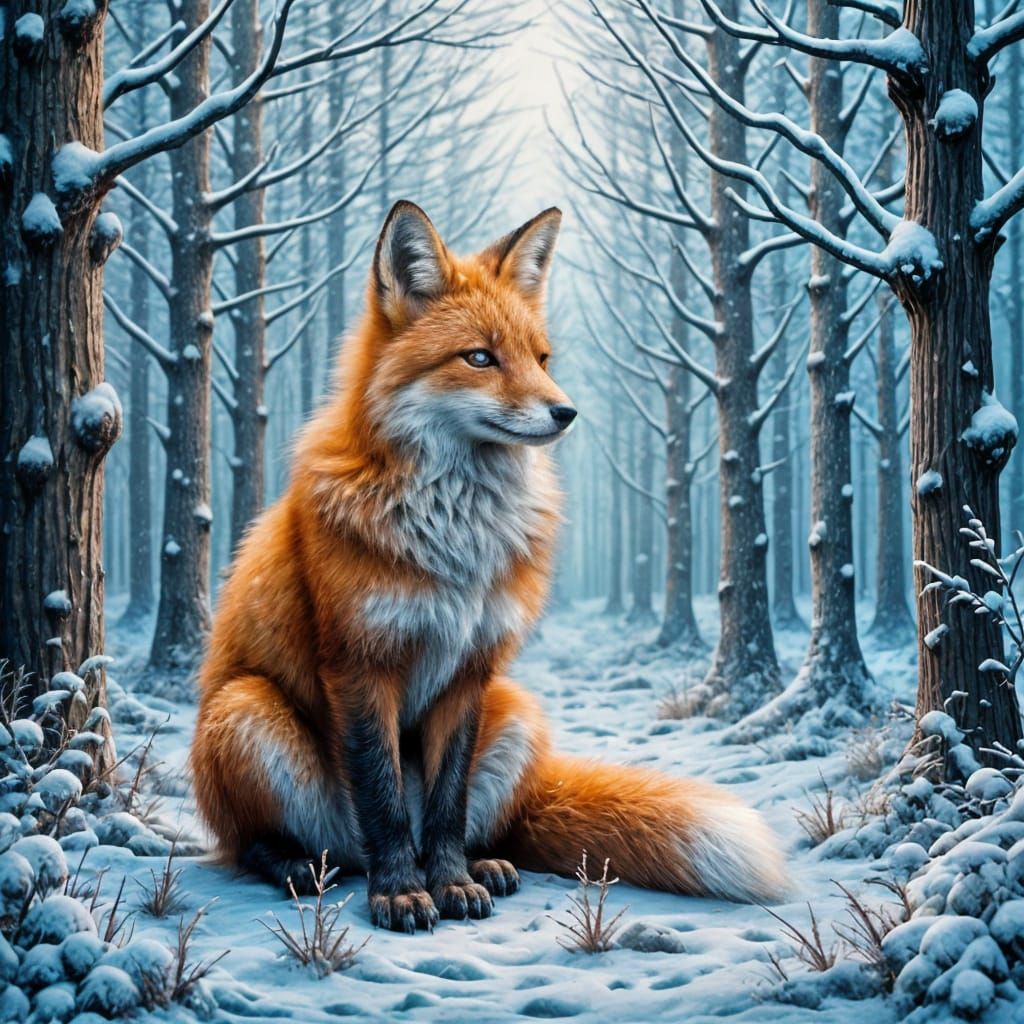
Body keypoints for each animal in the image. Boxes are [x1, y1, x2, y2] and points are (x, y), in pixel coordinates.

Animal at [190, 200, 789, 933]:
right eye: (479, 358)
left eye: (541, 358)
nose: (566, 412)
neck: (456, 539)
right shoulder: (359, 664)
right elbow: (383, 800)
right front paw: (400, 892)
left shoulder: (470, 669)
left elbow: (445, 806)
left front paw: (450, 882)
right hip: (245, 709)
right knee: (260, 845)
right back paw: (301, 867)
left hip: (519, 710)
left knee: (475, 825)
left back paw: (486, 865)